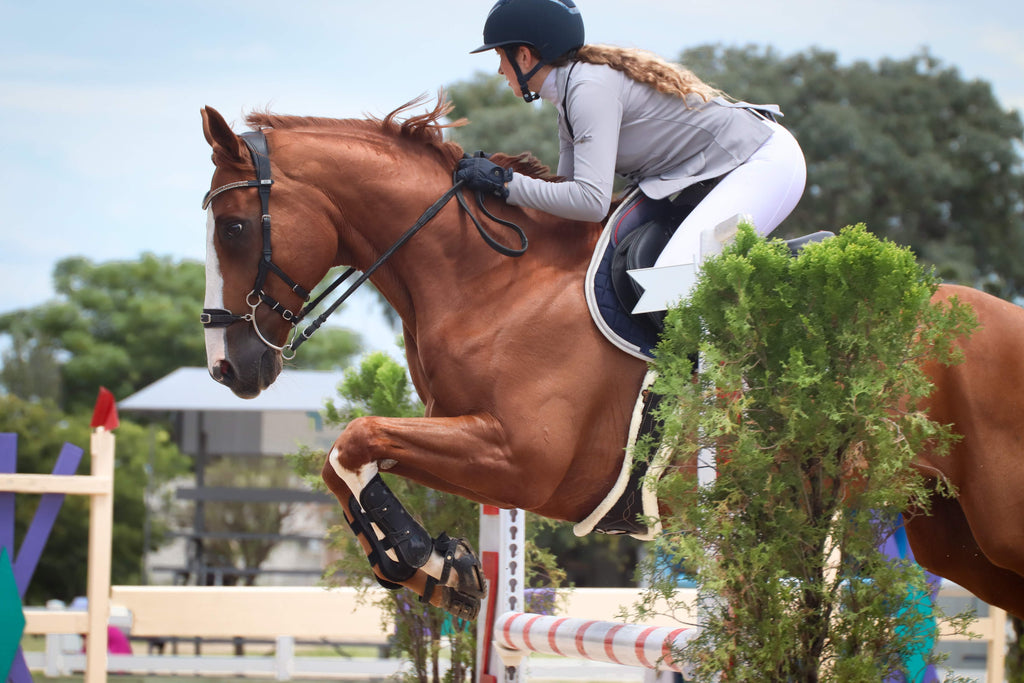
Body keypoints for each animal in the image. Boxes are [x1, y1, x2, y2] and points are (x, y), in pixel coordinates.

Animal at [197, 97, 1024, 618]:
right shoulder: (472, 443)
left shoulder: (523, 459)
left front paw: (421, 559)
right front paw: (440, 566)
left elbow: (355, 438)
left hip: (995, 520)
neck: (492, 280)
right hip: (954, 535)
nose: (228, 367)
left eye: (234, 227)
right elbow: (345, 458)